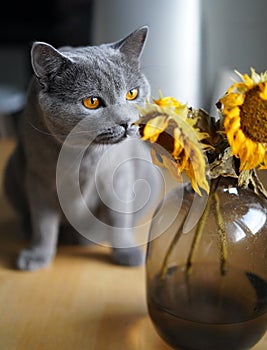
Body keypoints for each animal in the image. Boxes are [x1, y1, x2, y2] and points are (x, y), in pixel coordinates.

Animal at [3, 27, 163, 272]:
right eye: (92, 102)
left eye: (132, 94)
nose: (126, 123)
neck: (85, 156)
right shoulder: (39, 179)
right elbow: (44, 224)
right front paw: (37, 255)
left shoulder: (119, 177)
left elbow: (119, 217)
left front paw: (126, 252)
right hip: (12, 169)